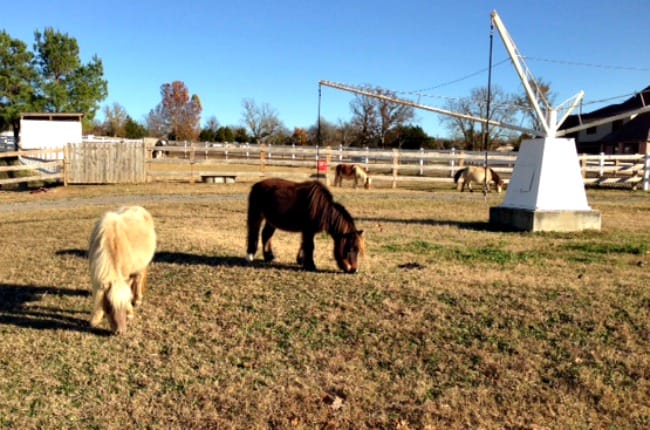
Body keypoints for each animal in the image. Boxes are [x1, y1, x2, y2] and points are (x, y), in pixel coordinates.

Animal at [88, 206, 157, 334]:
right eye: (109, 305)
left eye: (124, 305)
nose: (120, 332)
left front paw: (130, 313)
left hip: (140, 266)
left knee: (138, 280)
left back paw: (137, 299)